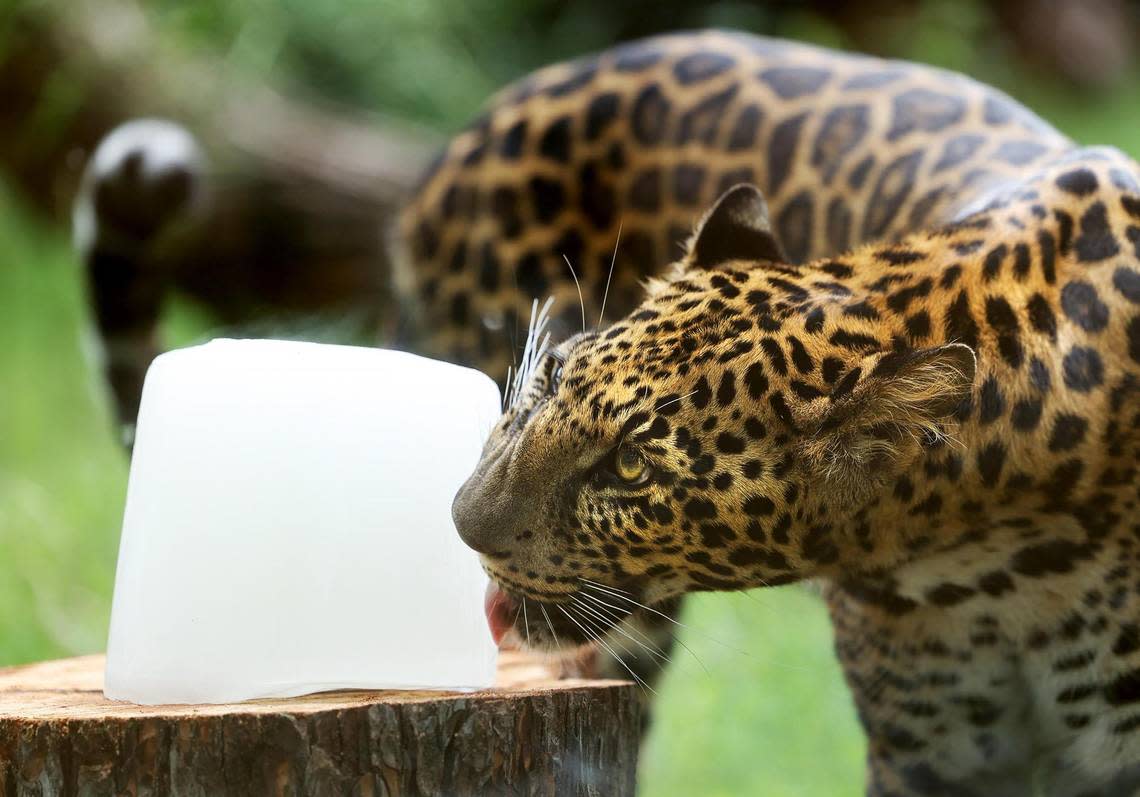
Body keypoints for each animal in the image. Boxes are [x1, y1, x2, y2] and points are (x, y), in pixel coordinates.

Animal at [84, 28, 1140, 793]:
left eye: (632, 467)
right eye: (551, 379)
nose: (460, 519)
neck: (990, 562)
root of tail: (471, 132)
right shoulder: (937, 755)